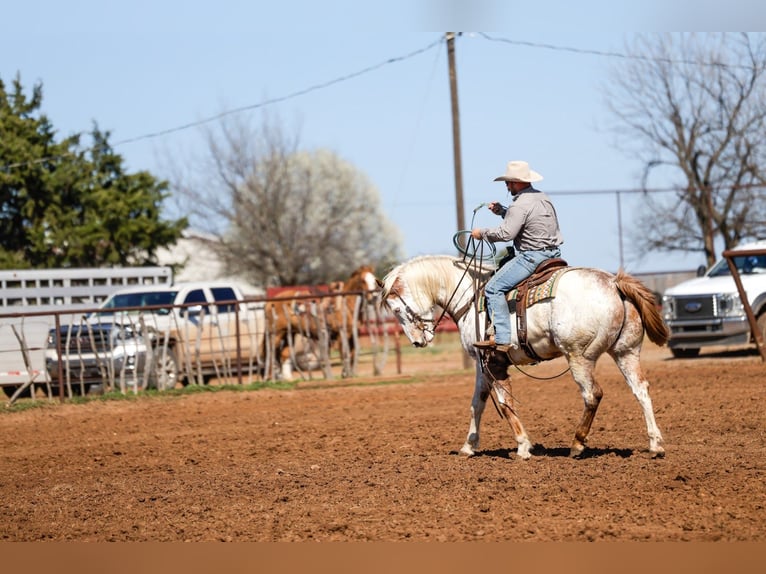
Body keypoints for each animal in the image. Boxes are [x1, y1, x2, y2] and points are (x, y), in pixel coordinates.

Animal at [380, 254, 669, 460]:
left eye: (396, 309)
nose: (418, 341)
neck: (471, 296)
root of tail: (613, 283)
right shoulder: (482, 364)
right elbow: (477, 403)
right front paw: (468, 446)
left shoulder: (493, 363)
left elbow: (505, 403)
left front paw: (522, 446)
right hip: (626, 352)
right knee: (641, 390)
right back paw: (655, 445)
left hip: (579, 356)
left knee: (592, 395)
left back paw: (577, 444)